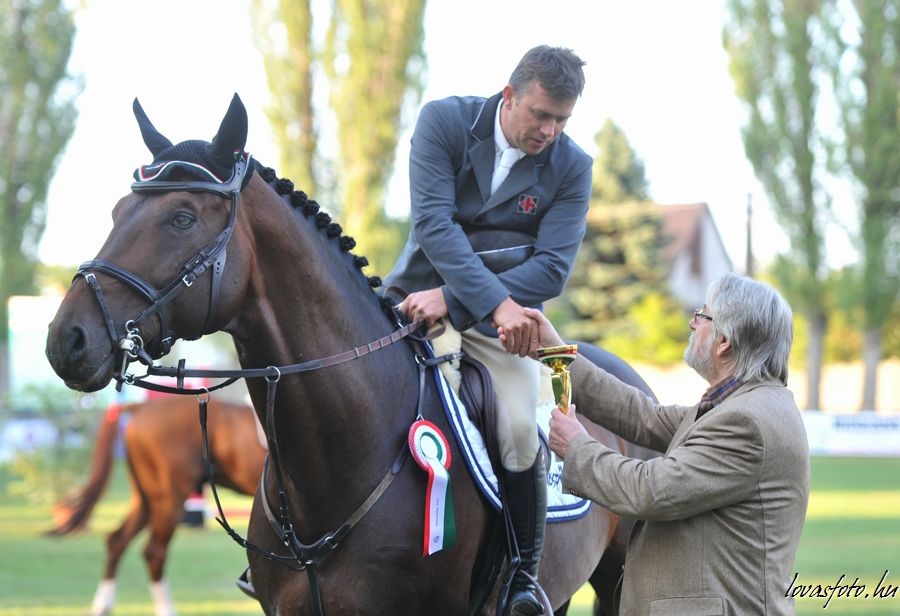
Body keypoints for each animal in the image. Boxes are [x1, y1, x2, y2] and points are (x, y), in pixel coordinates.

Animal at [46, 394, 264, 616]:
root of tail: (142, 407)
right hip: (170, 498)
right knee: (154, 551)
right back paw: (165, 609)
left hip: (145, 499)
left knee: (117, 540)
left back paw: (102, 605)